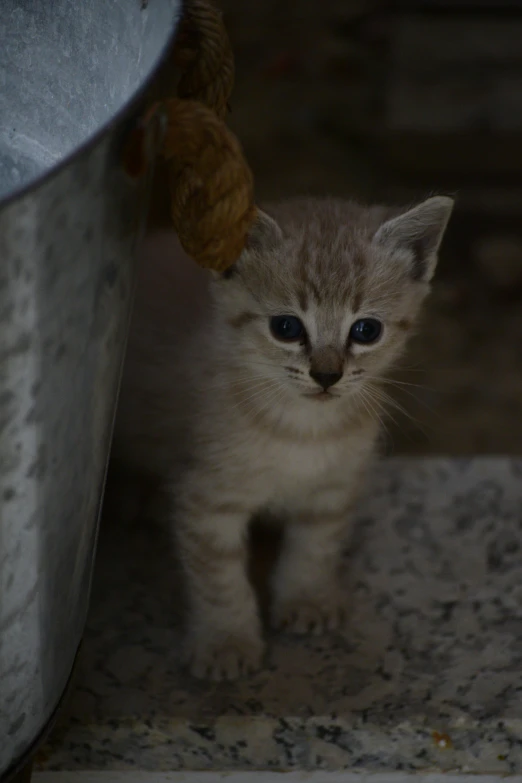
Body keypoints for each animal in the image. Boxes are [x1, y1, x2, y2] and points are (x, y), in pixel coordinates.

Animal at [112, 199, 450, 684]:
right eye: (286, 327)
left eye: (366, 331)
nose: (327, 375)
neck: (301, 430)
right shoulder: (206, 500)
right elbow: (219, 580)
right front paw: (226, 641)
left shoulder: (332, 489)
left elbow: (315, 548)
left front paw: (306, 599)